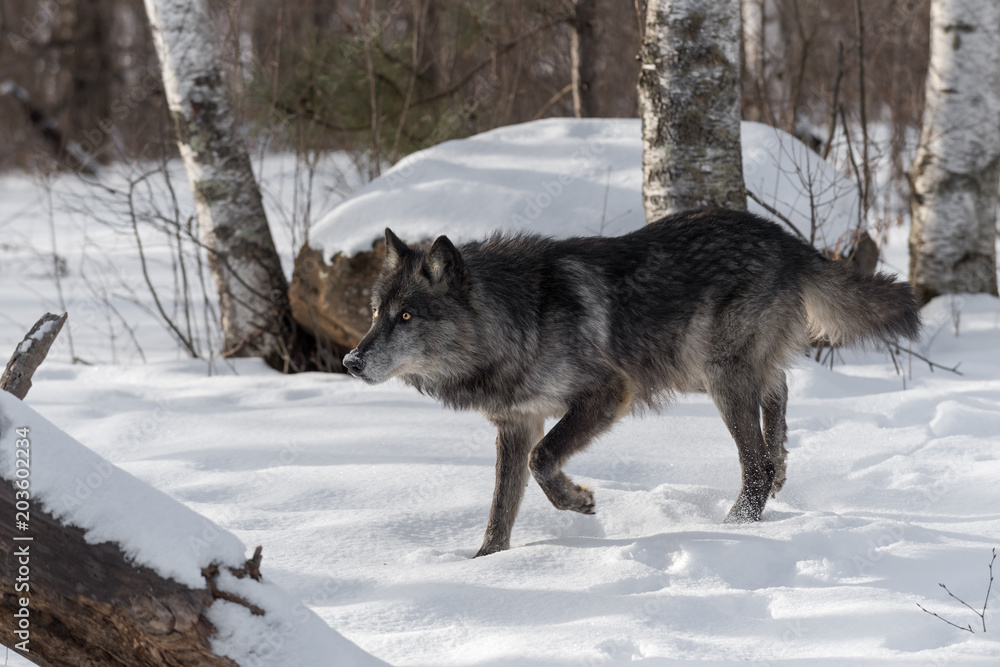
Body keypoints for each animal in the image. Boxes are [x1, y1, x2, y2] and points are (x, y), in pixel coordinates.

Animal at [343, 208, 920, 557]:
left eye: (407, 317)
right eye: (374, 313)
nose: (350, 361)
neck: (520, 318)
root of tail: (787, 238)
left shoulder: (605, 394)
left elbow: (543, 461)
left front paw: (579, 502)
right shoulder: (518, 423)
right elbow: (500, 510)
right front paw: (487, 563)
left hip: (716, 376)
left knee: (754, 461)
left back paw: (733, 527)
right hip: (707, 369)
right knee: (777, 393)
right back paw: (778, 471)